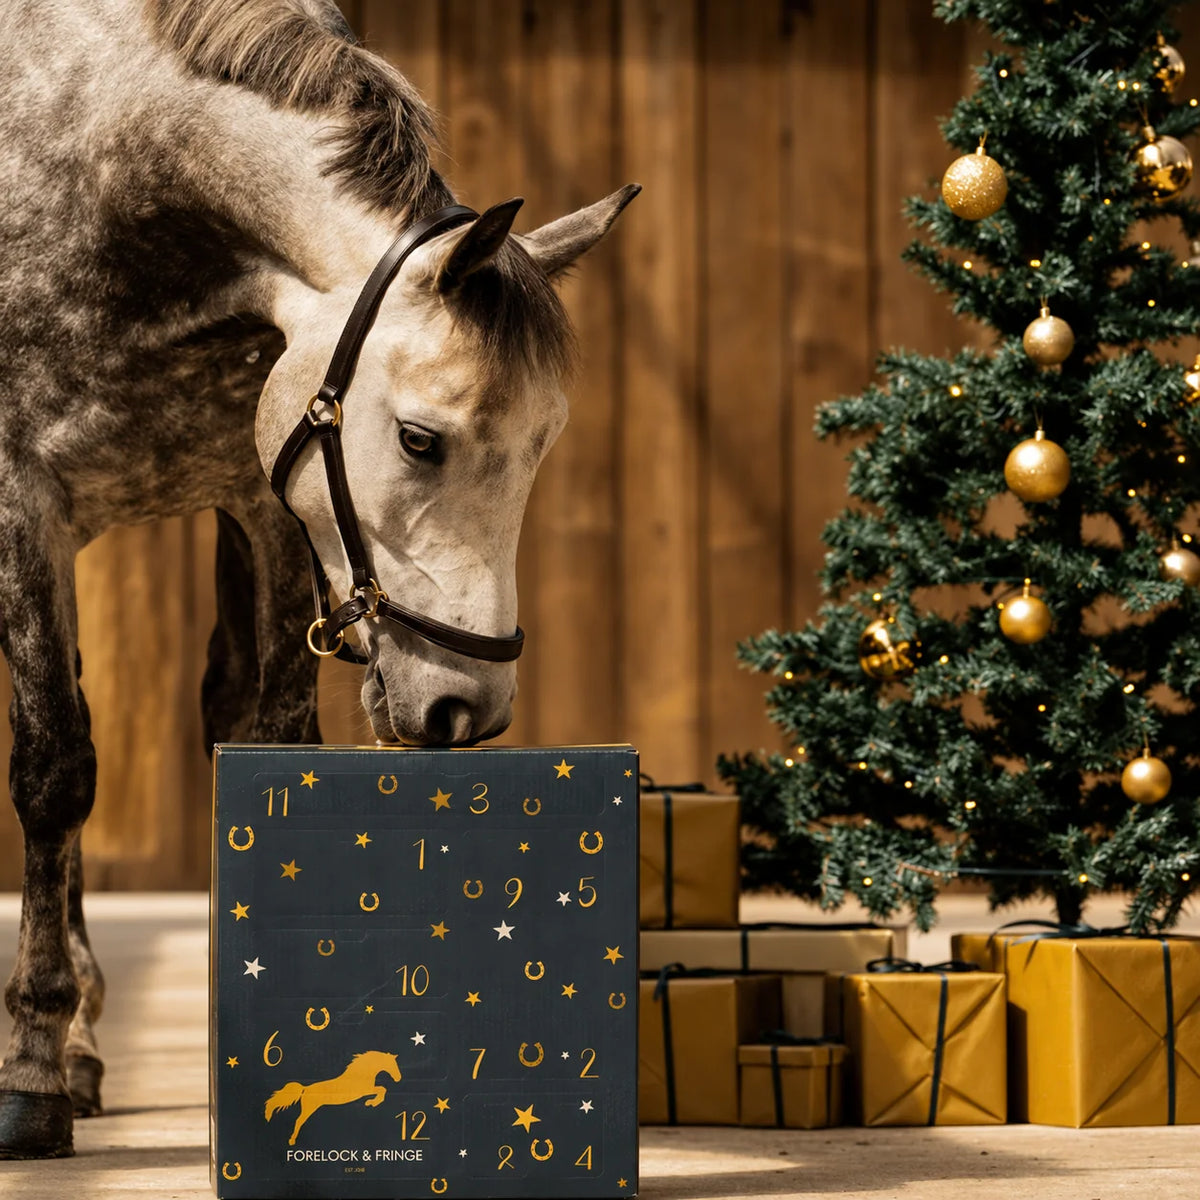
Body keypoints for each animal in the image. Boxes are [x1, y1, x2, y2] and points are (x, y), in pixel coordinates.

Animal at [265, 1050, 401, 1147]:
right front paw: (372, 1102)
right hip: (309, 1108)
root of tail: (305, 1088)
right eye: (392, 1064)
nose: (398, 1078)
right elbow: (382, 1089)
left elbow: (382, 1089)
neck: (360, 1074)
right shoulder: (364, 1091)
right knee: (299, 1121)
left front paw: (371, 1103)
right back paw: (292, 1141)